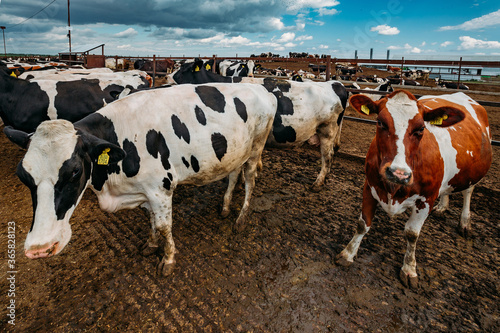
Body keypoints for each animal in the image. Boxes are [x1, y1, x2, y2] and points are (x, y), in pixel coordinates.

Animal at [5, 82, 276, 274]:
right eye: (23, 176)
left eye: (75, 171)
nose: (39, 249)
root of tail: (261, 88)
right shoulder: (145, 191)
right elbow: (152, 220)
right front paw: (151, 245)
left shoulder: (161, 189)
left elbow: (164, 226)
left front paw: (168, 259)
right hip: (236, 150)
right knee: (233, 174)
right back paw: (226, 207)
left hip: (256, 147)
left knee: (250, 179)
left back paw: (241, 218)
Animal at [166, 58, 346, 191]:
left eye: (183, 70)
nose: (166, 78)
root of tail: (334, 84)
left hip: (328, 130)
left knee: (327, 156)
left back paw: (318, 182)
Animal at [336, 89, 492, 286]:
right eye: (380, 122)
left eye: (421, 129)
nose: (398, 173)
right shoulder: (370, 186)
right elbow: (363, 224)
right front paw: (347, 254)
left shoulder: (426, 198)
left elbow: (411, 234)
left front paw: (409, 269)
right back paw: (442, 206)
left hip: (473, 173)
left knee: (468, 192)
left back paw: (465, 223)